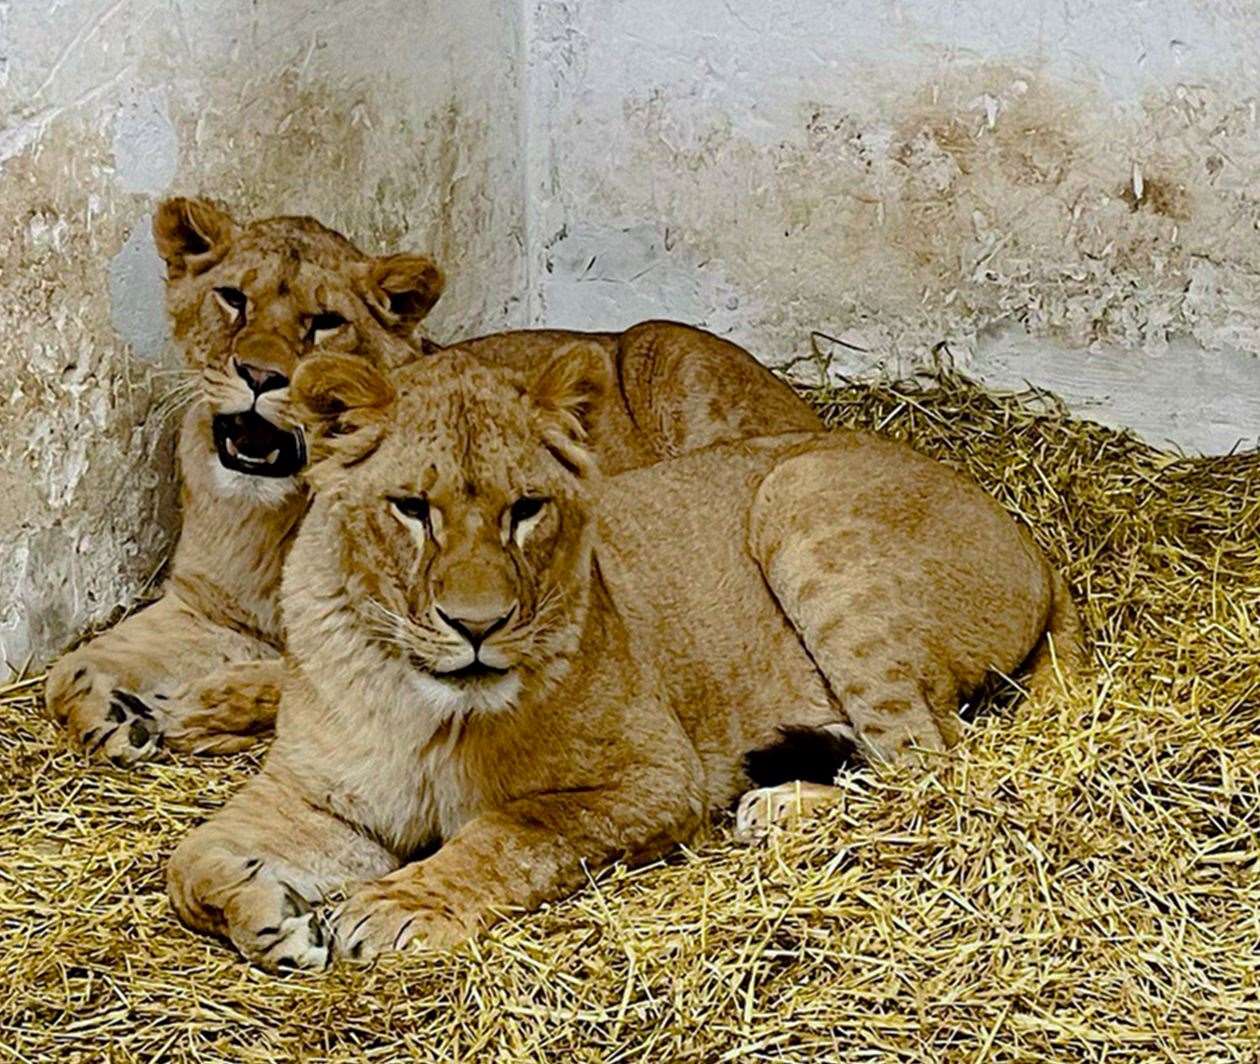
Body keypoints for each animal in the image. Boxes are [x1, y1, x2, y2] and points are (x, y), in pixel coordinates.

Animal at [44, 197, 821, 766]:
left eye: (325, 323)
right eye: (233, 299)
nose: (261, 376)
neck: (266, 517)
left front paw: (188, 708)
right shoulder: (204, 608)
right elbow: (68, 668)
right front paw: (110, 715)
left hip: (666, 350)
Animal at [162, 342, 1078, 973]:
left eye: (527, 509)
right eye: (412, 509)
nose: (477, 625)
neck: (415, 696)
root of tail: (1031, 539)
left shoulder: (657, 778)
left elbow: (510, 831)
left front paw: (400, 904)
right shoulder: (322, 792)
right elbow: (189, 861)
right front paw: (270, 918)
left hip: (799, 504)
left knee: (930, 766)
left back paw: (778, 808)